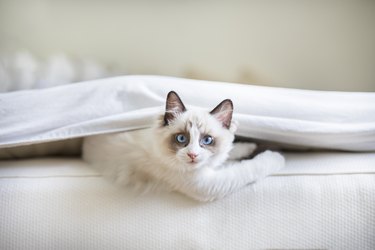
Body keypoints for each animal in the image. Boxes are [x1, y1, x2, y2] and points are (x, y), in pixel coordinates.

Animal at [83, 91, 284, 201]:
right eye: (181, 139)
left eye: (207, 140)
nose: (192, 155)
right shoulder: (208, 185)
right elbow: (250, 168)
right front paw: (277, 156)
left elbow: (231, 152)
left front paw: (251, 146)